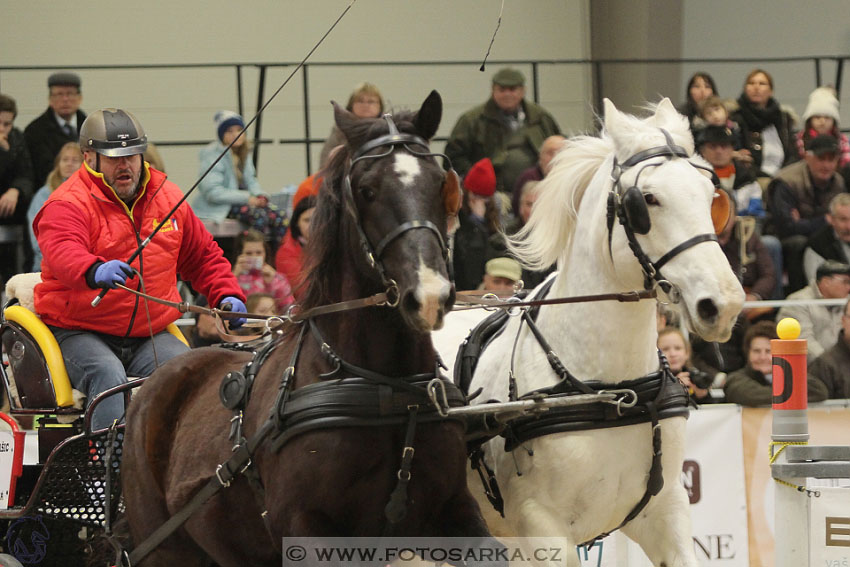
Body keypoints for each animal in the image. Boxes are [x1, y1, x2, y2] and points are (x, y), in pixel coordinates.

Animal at [121, 91, 490, 564]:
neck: (385, 388)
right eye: (367, 191)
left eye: (440, 184)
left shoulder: (454, 510)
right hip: (162, 548)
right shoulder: (305, 527)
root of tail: (145, 389)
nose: (428, 294)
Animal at [450, 98, 744, 567]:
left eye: (709, 196)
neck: (613, 392)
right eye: (647, 200)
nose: (723, 304)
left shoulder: (666, 512)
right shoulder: (541, 527)